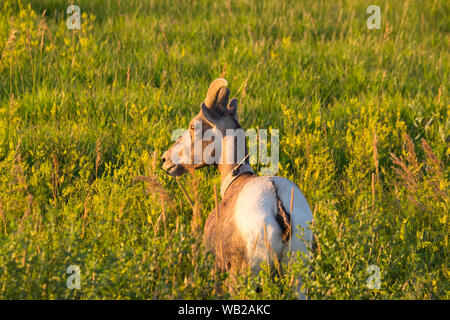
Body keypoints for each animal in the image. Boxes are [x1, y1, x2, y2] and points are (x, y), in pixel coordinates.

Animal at [162, 77, 312, 298]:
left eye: (193, 126)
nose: (165, 160)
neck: (236, 182)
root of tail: (278, 207)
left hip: (245, 277)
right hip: (298, 278)